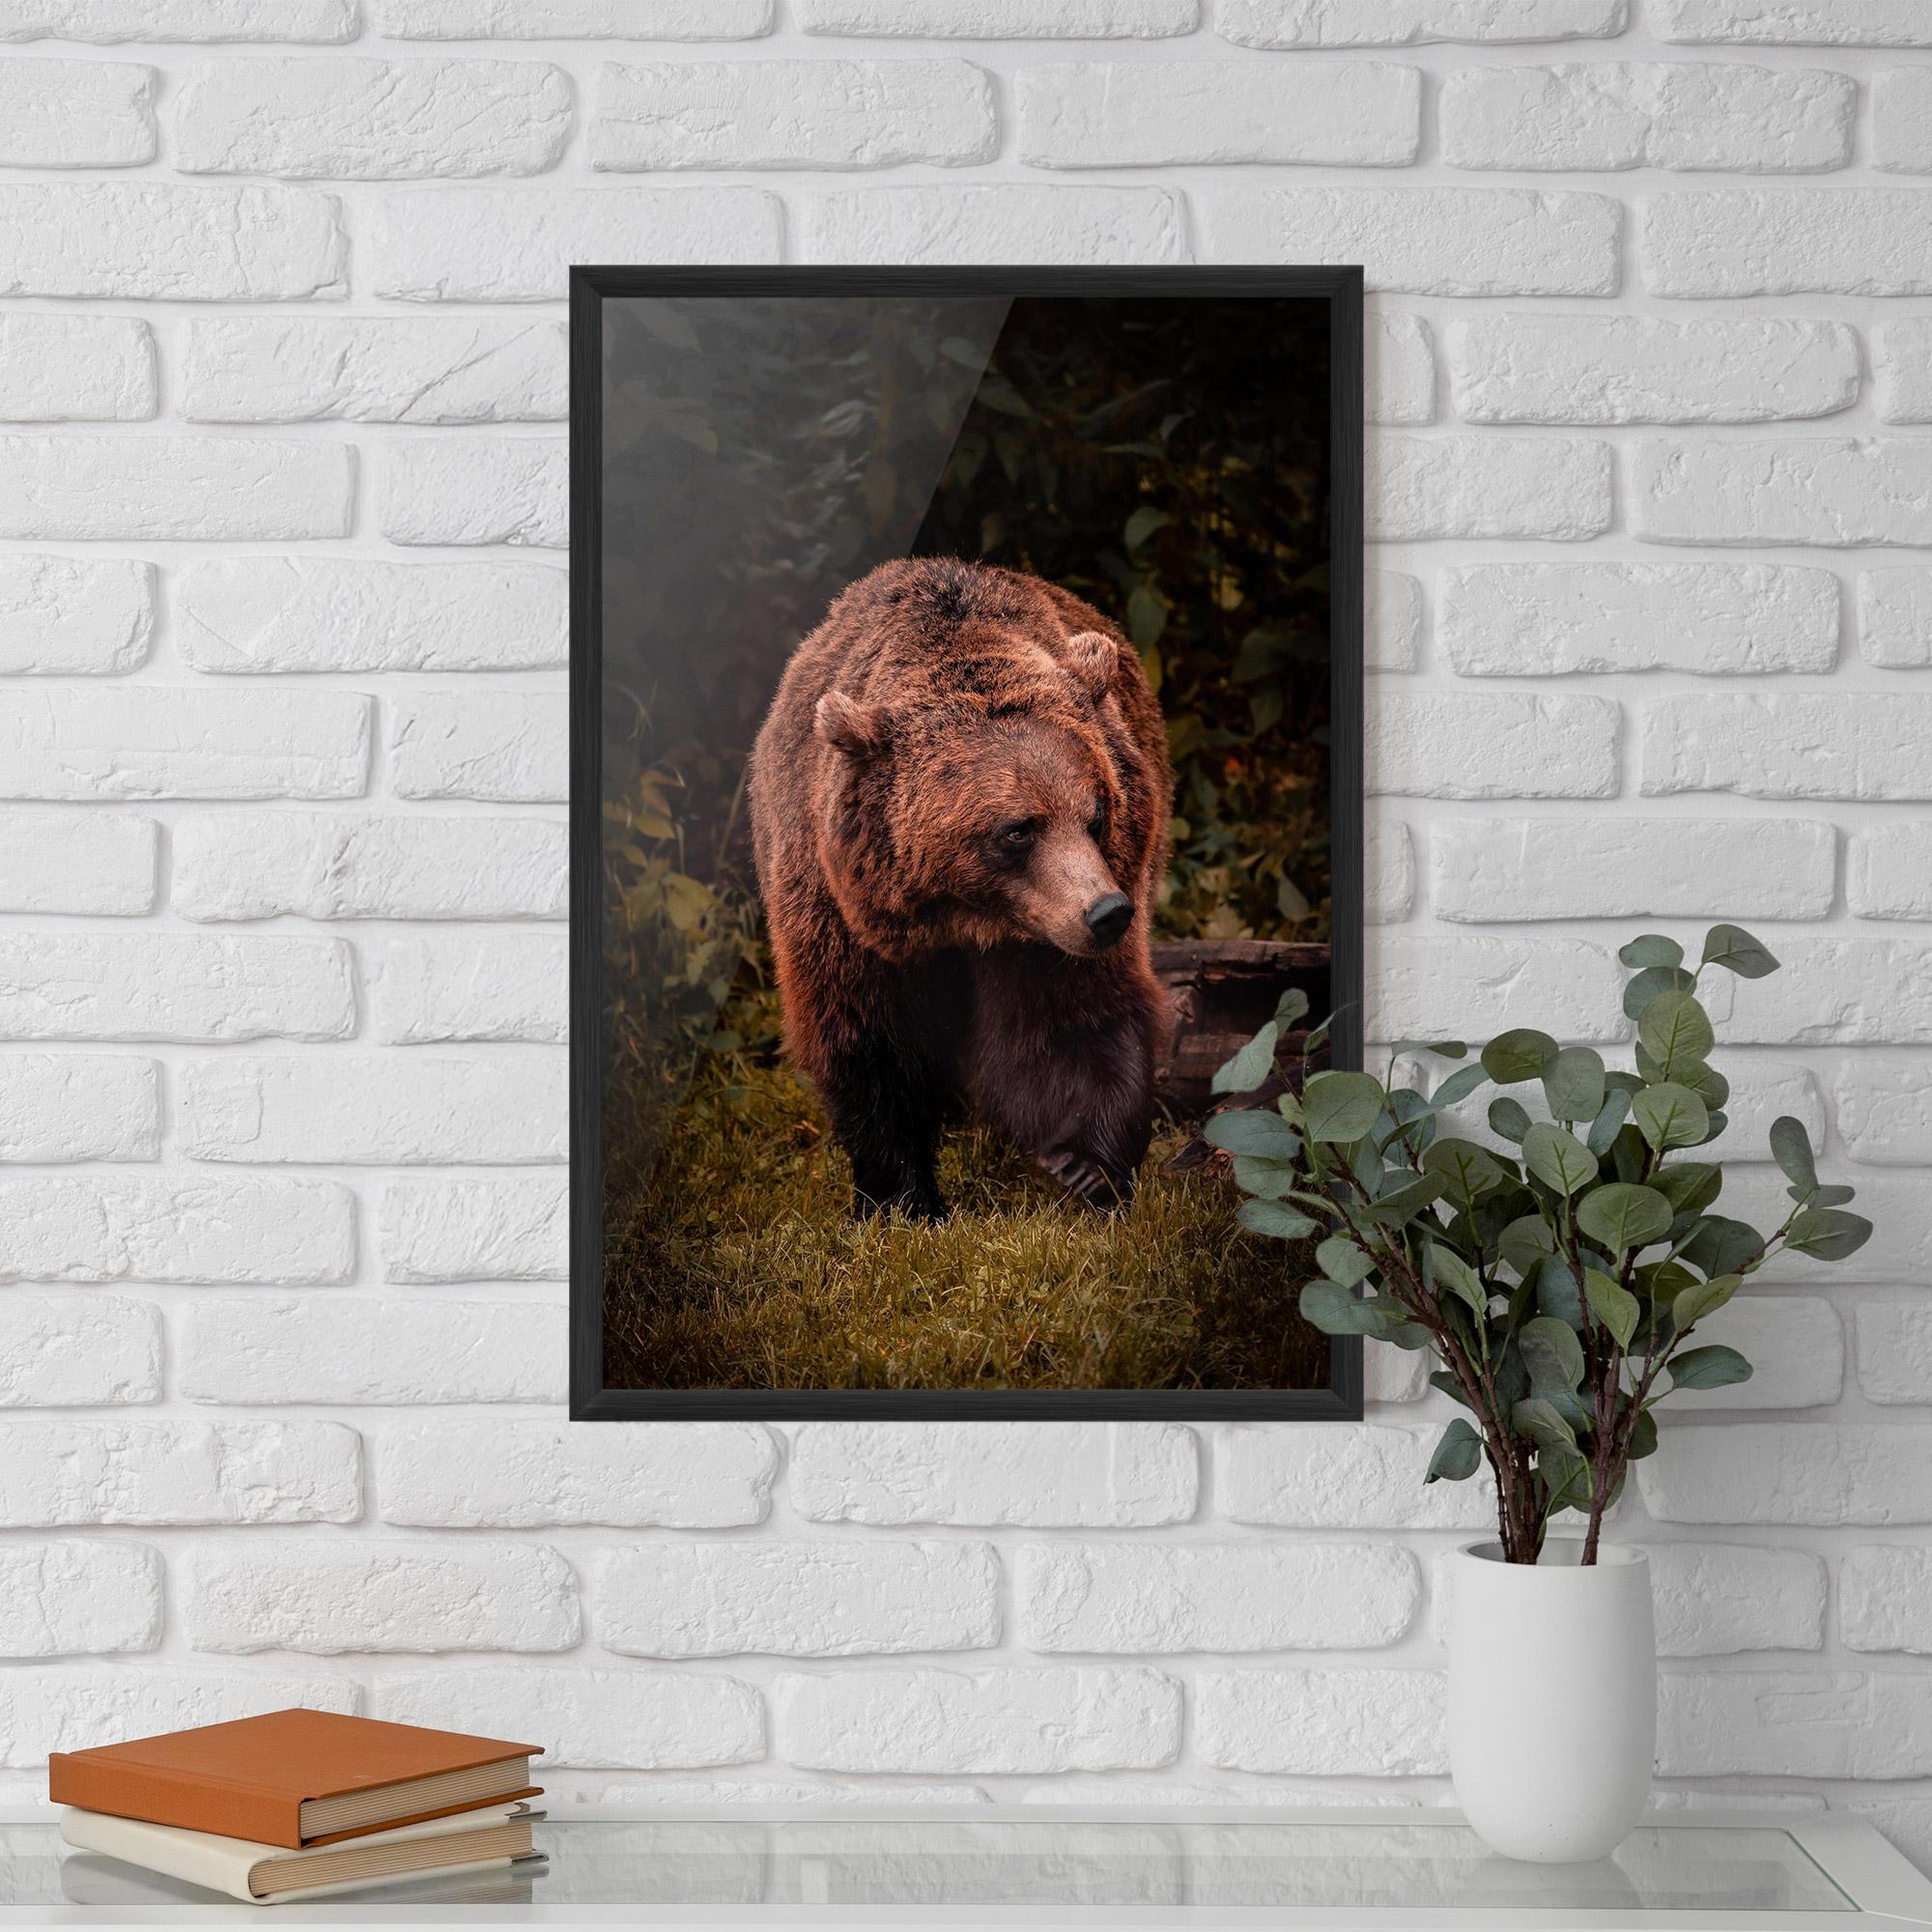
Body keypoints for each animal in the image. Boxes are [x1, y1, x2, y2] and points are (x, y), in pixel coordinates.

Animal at [748, 556, 1173, 1222]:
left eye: (1097, 813)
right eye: (1018, 830)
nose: (1107, 913)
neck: (963, 919)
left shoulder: (1048, 931)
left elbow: (1073, 1021)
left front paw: (1086, 1167)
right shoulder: (838, 914)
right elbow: (869, 1042)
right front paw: (902, 1198)